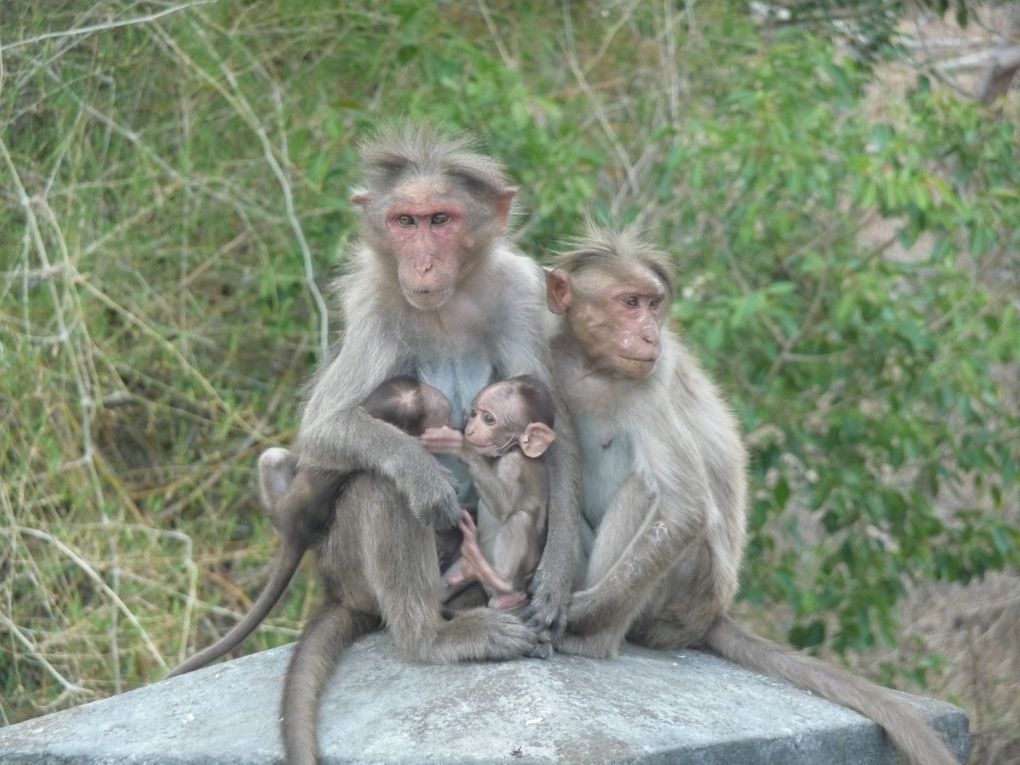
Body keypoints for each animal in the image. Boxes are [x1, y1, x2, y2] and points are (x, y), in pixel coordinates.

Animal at [428, 373, 563, 612]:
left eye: (489, 419)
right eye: (474, 414)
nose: (470, 429)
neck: (513, 449)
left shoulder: (514, 463)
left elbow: (503, 506)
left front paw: (459, 445)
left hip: (520, 577)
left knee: (519, 519)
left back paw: (499, 582)